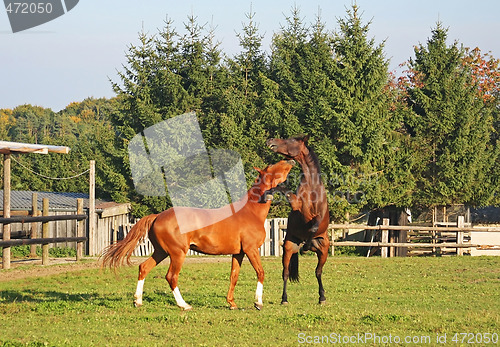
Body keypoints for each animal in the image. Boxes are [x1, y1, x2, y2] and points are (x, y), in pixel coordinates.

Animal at [103, 162, 294, 312]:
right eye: (272, 167)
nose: (289, 161)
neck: (250, 212)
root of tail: (157, 216)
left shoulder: (238, 253)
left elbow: (234, 276)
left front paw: (231, 303)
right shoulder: (251, 249)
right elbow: (260, 273)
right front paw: (258, 303)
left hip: (161, 252)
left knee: (143, 268)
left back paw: (138, 301)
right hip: (177, 253)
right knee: (171, 277)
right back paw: (184, 305)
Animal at [266, 135, 332, 304]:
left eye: (290, 141)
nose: (270, 141)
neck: (312, 187)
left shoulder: (317, 216)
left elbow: (314, 226)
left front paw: (306, 247)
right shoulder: (299, 208)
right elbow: (286, 191)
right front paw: (270, 190)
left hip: (324, 251)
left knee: (318, 272)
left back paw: (322, 297)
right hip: (288, 248)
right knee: (286, 272)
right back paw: (284, 299)